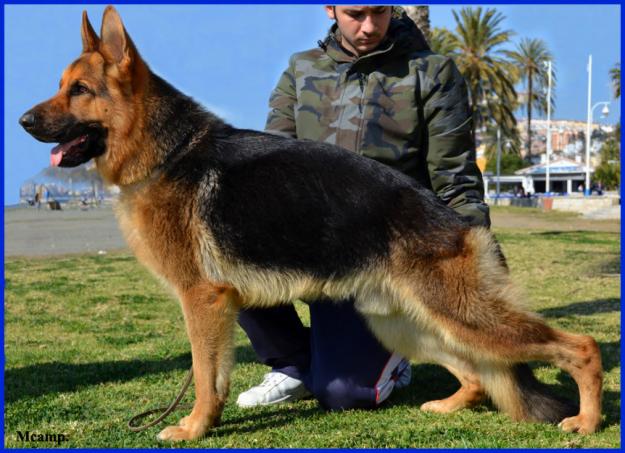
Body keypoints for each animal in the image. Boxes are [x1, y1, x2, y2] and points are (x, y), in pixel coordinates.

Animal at [22, 5, 604, 440]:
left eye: (79, 90)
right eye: (61, 85)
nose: (24, 120)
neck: (166, 153)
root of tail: (458, 222)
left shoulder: (202, 300)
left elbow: (204, 377)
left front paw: (192, 427)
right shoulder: (219, 301)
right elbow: (213, 375)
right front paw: (204, 423)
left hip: (463, 316)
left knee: (581, 346)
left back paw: (586, 421)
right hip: (410, 322)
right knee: (476, 373)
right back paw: (450, 405)